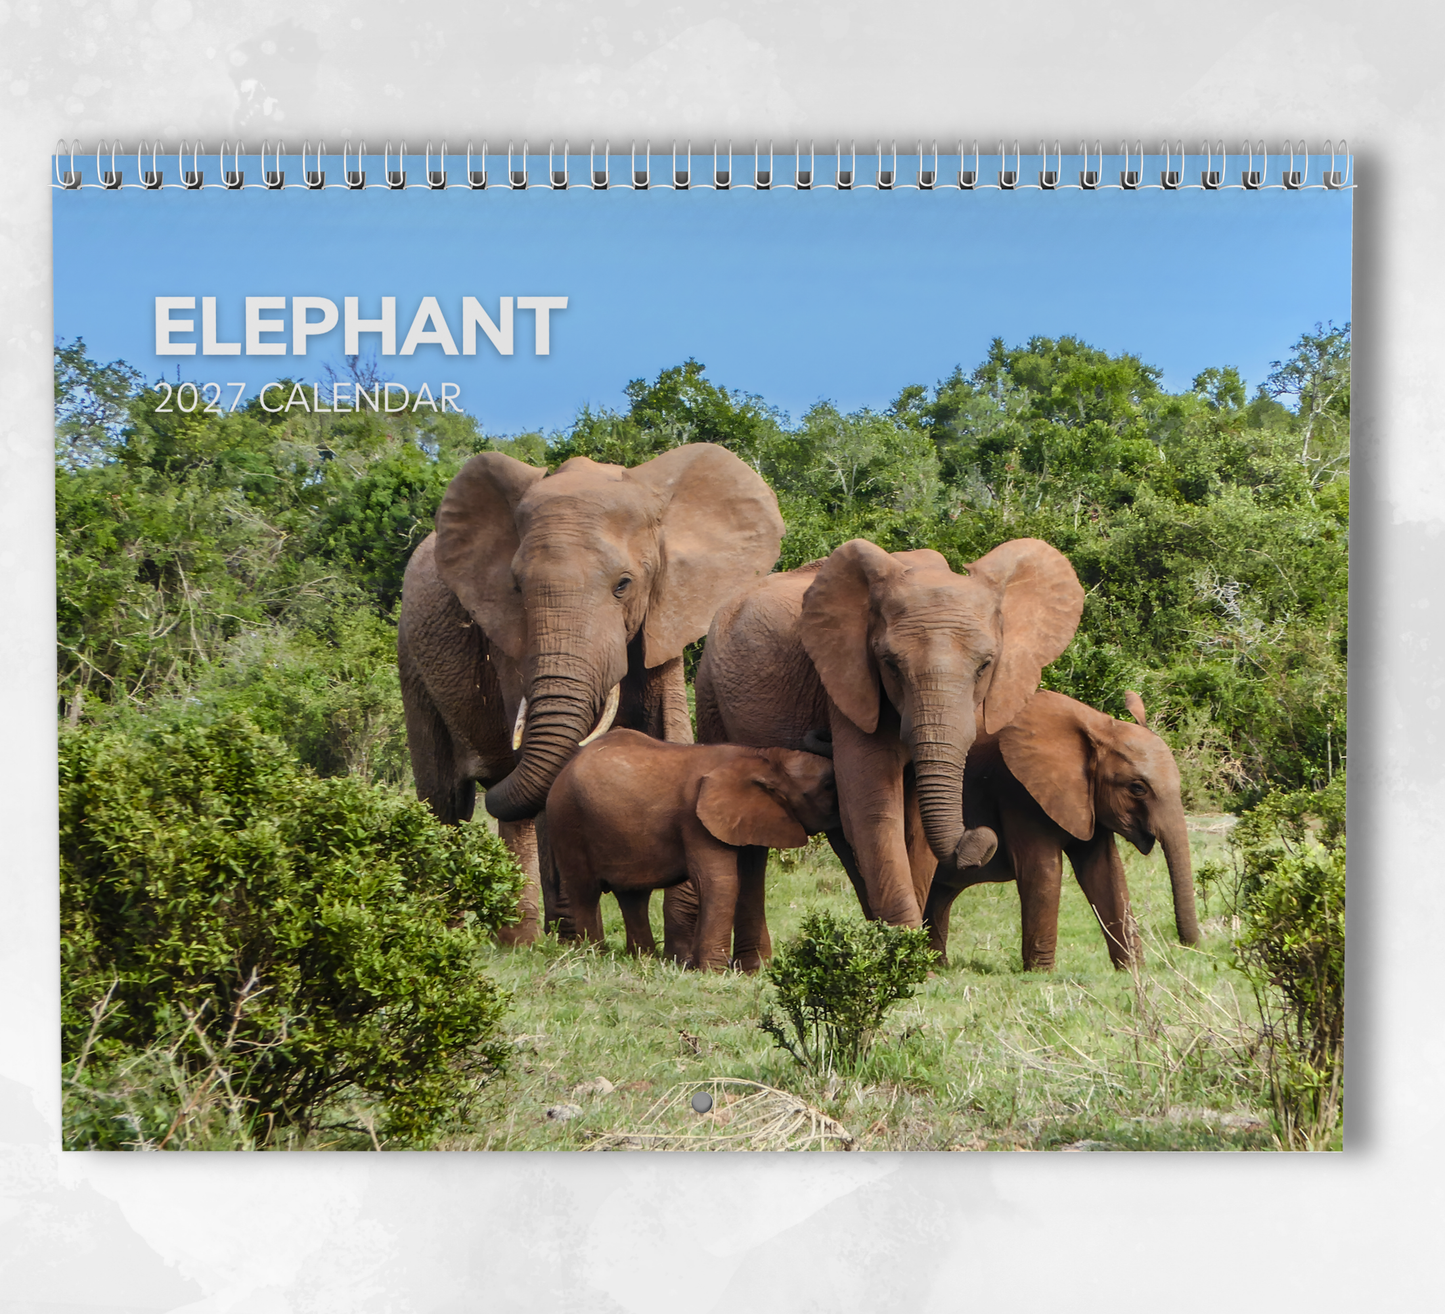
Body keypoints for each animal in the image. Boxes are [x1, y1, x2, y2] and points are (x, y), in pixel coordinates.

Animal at [398, 444, 786, 943]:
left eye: (623, 585)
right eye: (517, 588)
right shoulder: (508, 637)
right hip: (411, 658)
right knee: (446, 801)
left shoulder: (664, 613)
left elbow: (672, 732)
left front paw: (679, 944)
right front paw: (578, 940)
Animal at [546, 729, 839, 971]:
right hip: (566, 820)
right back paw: (593, 955)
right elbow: (719, 882)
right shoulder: (695, 818)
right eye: (828, 786)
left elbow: (752, 884)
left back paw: (642, 959)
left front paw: (755, 971)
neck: (762, 758)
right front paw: (714, 971)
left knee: (633, 896)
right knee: (585, 891)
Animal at [695, 538, 1084, 930]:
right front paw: (908, 944)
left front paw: (907, 944)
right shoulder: (850, 684)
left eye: (985, 666)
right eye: (891, 665)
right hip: (709, 690)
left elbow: (912, 826)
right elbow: (874, 810)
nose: (981, 837)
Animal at [923, 689, 1202, 972]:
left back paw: (938, 965)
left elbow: (1105, 872)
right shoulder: (1017, 790)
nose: (1187, 946)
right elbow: (1043, 871)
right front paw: (1041, 974)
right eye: (1137, 788)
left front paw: (1133, 970)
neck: (1099, 726)